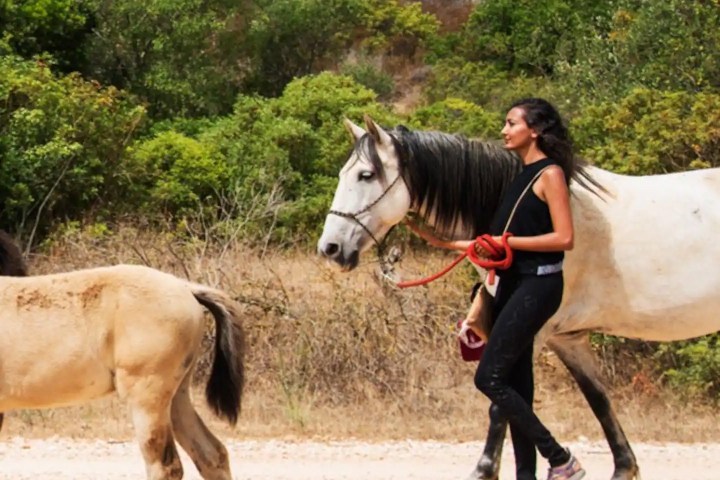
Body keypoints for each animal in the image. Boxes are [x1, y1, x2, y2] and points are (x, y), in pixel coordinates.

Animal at [318, 115, 720, 480]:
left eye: (366, 175)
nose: (330, 248)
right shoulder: (566, 338)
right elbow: (597, 399)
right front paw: (624, 467)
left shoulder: (529, 332)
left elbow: (503, 400)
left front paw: (485, 470)